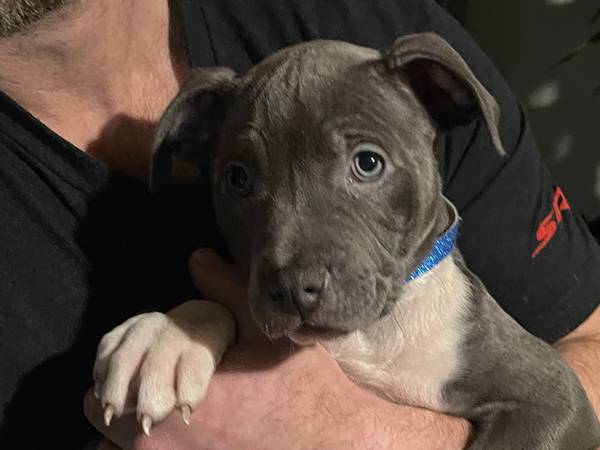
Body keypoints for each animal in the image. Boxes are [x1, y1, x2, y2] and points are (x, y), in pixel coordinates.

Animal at [91, 33, 600, 448]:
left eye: (368, 163)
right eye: (237, 179)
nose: (292, 288)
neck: (370, 336)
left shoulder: (553, 395)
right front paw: (168, 334)